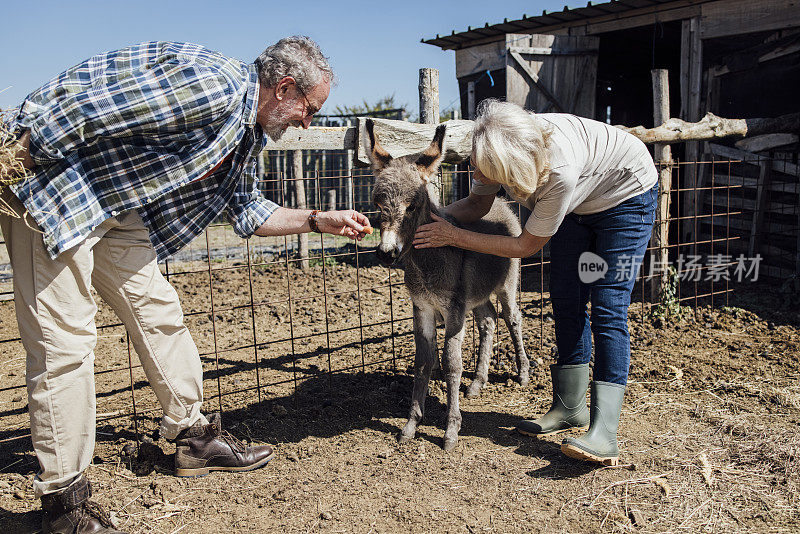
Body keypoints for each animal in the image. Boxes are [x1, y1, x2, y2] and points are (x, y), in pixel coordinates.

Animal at [364, 119, 528, 450]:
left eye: (413, 206)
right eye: (377, 203)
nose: (386, 253)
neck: (426, 263)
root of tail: (501, 203)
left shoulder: (453, 311)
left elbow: (451, 364)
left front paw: (451, 430)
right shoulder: (423, 308)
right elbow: (423, 362)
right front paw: (411, 425)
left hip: (507, 284)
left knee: (512, 318)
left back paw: (523, 374)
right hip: (476, 295)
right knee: (488, 320)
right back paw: (477, 383)